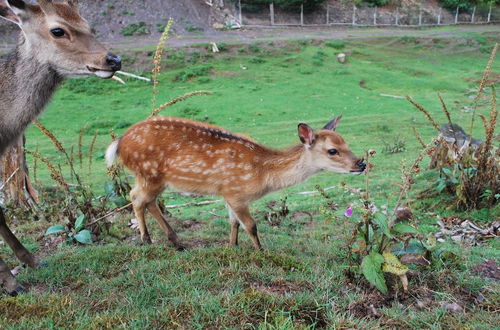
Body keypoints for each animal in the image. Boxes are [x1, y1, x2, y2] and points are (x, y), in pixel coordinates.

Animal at [106, 116, 364, 250]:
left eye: (347, 143)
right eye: (332, 150)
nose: (361, 163)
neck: (262, 173)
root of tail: (120, 143)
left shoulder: (227, 192)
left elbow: (233, 223)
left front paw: (232, 246)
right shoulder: (237, 192)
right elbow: (251, 225)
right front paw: (261, 251)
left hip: (156, 179)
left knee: (148, 201)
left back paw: (176, 240)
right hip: (148, 173)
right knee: (136, 197)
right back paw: (146, 239)